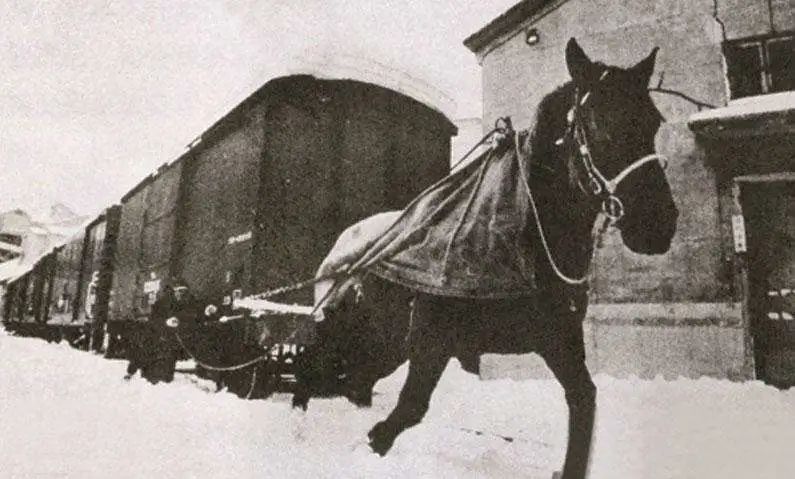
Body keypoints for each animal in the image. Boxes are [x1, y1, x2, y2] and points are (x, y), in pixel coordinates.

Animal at [291, 38, 678, 479]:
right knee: (311, 370)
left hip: (383, 346)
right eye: (600, 125)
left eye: (653, 122)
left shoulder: (557, 339)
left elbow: (584, 401)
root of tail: (345, 249)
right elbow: (407, 410)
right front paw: (368, 445)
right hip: (357, 334)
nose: (658, 224)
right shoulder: (431, 337)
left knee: (351, 380)